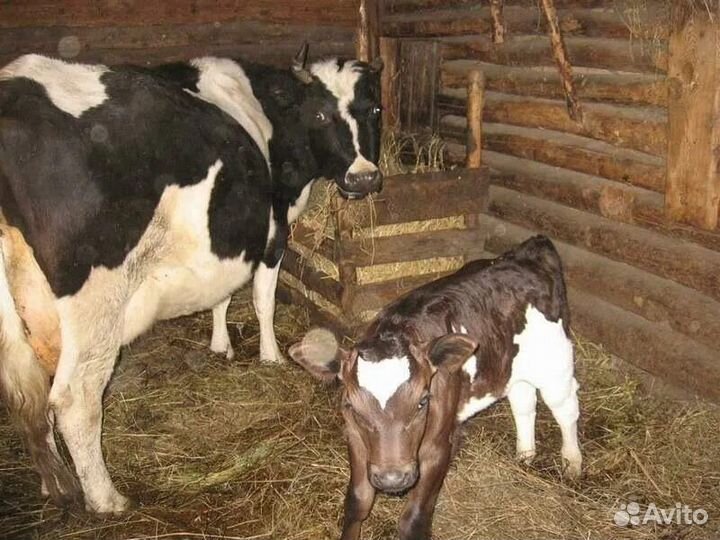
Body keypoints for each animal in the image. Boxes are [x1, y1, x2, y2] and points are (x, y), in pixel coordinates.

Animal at [0, 44, 383, 514]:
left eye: (375, 109)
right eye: (322, 115)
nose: (364, 176)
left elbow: (222, 295)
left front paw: (221, 345)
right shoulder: (272, 229)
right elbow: (263, 299)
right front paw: (271, 356)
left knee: (28, 392)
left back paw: (54, 483)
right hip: (95, 296)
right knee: (74, 397)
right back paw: (107, 498)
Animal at [290, 236, 583, 540]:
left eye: (422, 401)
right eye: (352, 407)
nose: (392, 478)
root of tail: (529, 251)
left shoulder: (438, 446)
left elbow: (415, 517)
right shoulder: (356, 438)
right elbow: (358, 501)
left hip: (555, 363)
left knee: (565, 409)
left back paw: (572, 463)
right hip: (511, 364)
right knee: (523, 402)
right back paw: (524, 455)